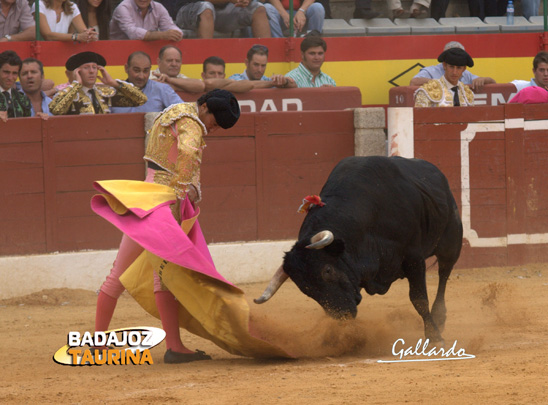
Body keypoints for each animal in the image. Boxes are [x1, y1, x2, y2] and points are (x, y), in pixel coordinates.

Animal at [256, 155, 462, 340]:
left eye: (328, 270)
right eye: (305, 288)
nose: (342, 316)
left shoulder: (413, 258)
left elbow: (419, 299)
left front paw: (434, 336)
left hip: (451, 242)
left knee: (444, 273)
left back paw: (439, 317)